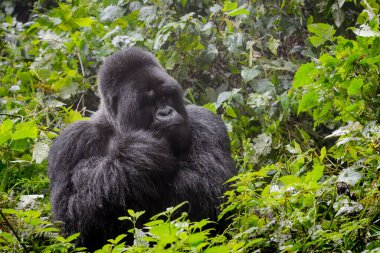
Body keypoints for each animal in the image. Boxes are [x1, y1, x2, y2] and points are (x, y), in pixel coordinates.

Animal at [48, 47, 235, 251]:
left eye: (165, 97)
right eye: (149, 103)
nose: (166, 112)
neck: (118, 128)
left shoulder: (206, 121)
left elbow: (213, 189)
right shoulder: (72, 141)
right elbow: (71, 222)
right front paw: (137, 157)